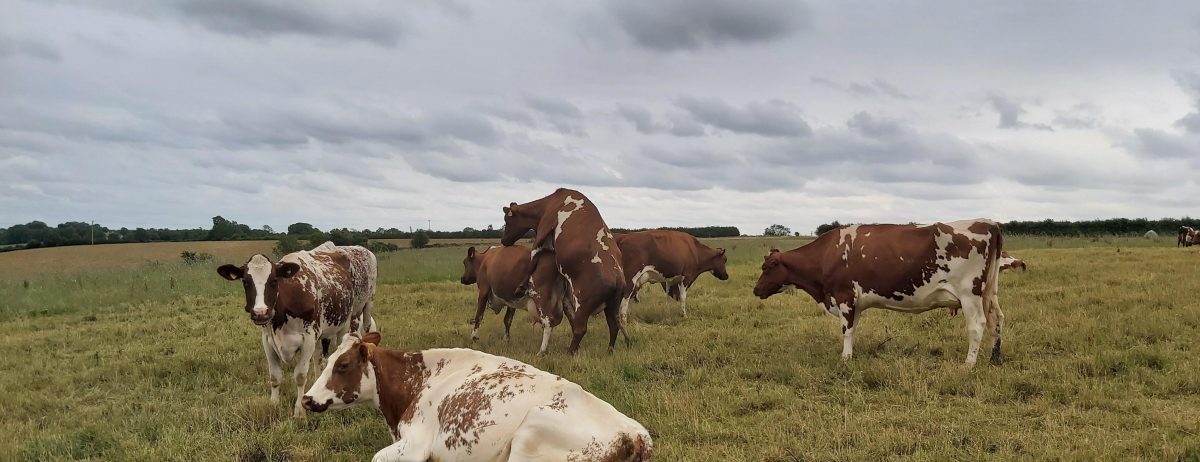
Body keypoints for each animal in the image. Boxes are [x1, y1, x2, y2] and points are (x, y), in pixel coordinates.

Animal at [217, 241, 377, 416]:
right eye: (246, 282)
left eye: (274, 281)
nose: (260, 313)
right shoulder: (268, 340)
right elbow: (275, 376)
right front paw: (274, 404)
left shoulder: (308, 338)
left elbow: (300, 376)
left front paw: (299, 410)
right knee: (318, 359)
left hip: (358, 312)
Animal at [301, 332, 653, 461]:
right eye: (326, 360)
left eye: (343, 365)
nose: (306, 399)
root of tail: (636, 434)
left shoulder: (416, 444)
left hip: (529, 438)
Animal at [501, 188, 627, 355]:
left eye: (507, 220)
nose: (503, 241)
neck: (551, 202)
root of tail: (618, 279)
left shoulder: (542, 230)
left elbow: (533, 259)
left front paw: (521, 286)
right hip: (612, 305)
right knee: (613, 326)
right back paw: (609, 351)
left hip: (583, 304)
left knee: (580, 328)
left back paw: (570, 352)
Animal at [752, 220, 1005, 367]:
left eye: (766, 267)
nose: (756, 289)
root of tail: (989, 223)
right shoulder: (855, 301)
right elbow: (852, 329)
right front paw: (849, 355)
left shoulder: (844, 296)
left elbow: (846, 331)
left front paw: (845, 359)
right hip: (990, 292)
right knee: (997, 319)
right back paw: (994, 358)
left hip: (969, 294)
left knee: (978, 325)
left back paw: (968, 364)